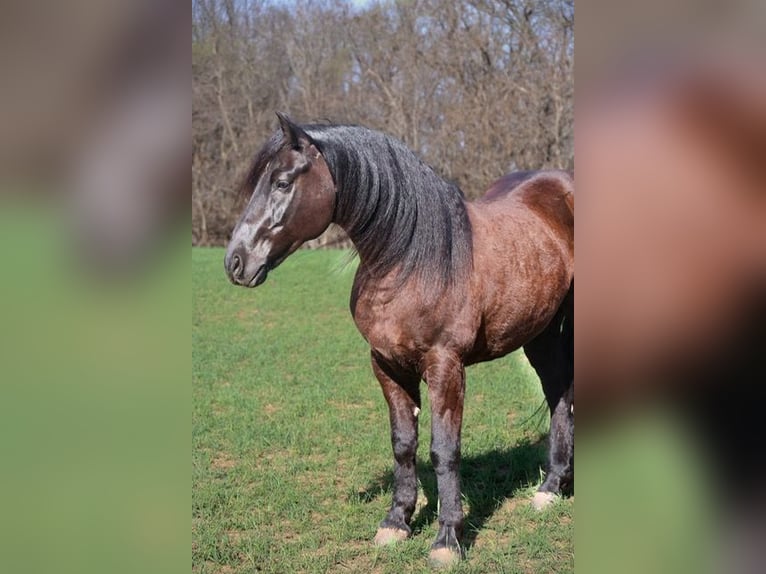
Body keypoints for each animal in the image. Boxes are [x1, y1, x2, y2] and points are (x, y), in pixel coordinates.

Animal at [224, 112, 574, 566]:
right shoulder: (386, 364)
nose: (235, 261)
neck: (412, 260)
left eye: (282, 183)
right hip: (541, 332)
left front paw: (447, 539)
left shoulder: (446, 367)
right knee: (558, 392)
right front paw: (397, 522)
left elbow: (444, 450)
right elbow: (403, 444)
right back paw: (552, 487)